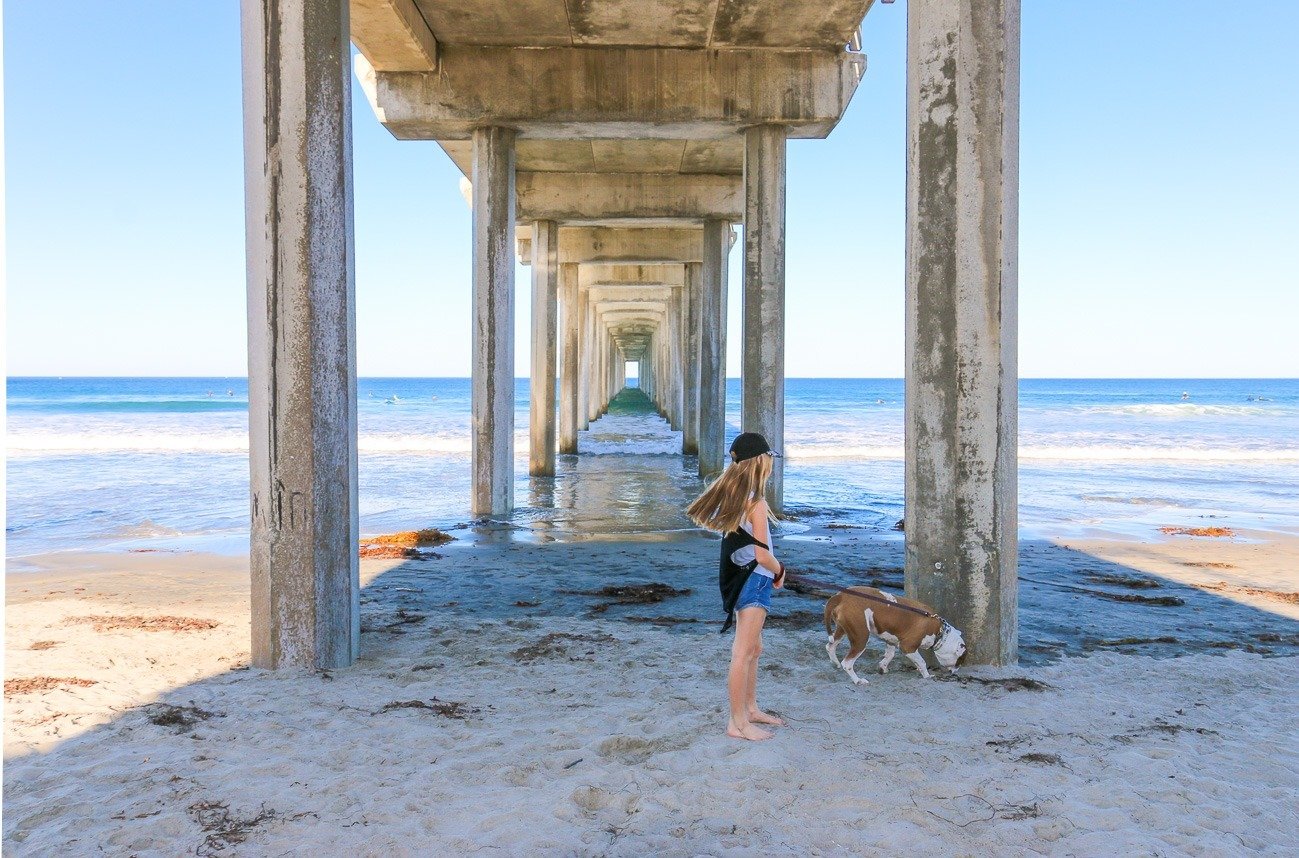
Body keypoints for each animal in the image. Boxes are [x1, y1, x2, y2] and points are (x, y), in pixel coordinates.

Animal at [820, 586, 966, 685]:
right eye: (959, 661)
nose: (955, 673)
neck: (940, 631)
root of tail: (840, 596)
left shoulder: (890, 640)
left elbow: (889, 656)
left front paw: (883, 668)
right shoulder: (908, 647)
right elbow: (921, 662)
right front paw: (927, 676)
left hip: (843, 630)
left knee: (830, 646)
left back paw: (836, 663)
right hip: (860, 637)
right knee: (847, 663)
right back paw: (858, 680)